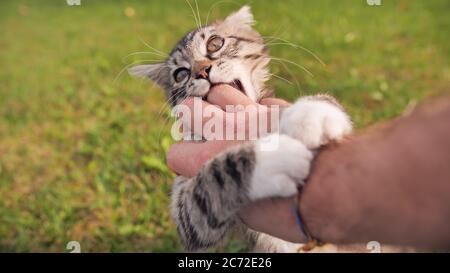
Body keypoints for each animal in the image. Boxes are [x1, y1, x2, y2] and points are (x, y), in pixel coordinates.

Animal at [128, 5, 354, 251]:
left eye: (215, 43)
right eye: (180, 74)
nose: (202, 71)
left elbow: (326, 101)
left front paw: (311, 112)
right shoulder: (188, 217)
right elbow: (214, 177)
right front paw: (269, 158)